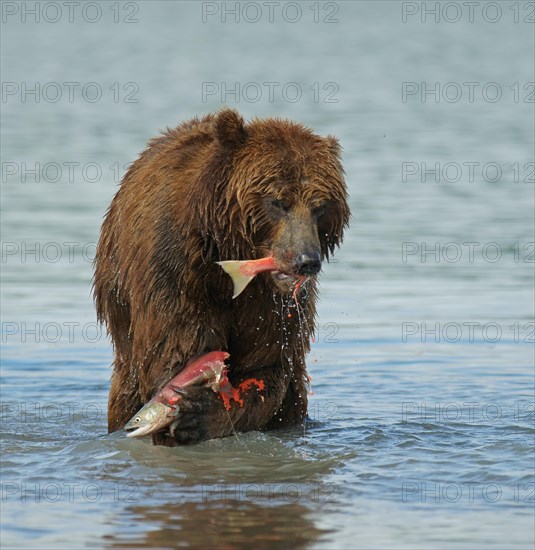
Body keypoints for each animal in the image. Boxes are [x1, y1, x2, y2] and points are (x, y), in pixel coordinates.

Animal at [94, 109, 350, 448]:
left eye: (320, 206)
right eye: (277, 201)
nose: (306, 260)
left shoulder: (271, 304)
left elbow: (267, 363)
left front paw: (199, 412)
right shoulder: (172, 267)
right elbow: (178, 348)